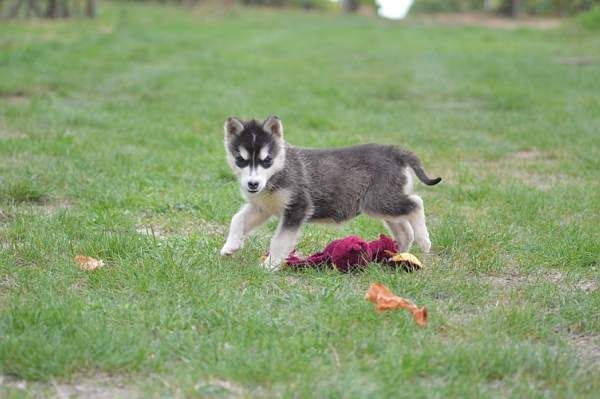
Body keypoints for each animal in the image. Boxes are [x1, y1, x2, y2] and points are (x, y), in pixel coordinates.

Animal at [220, 115, 440, 272]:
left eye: (267, 161)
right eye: (241, 160)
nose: (253, 184)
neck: (279, 170)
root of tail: (395, 152)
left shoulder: (298, 207)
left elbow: (280, 240)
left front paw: (270, 265)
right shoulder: (262, 207)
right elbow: (237, 219)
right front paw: (230, 246)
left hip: (378, 201)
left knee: (416, 203)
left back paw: (424, 240)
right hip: (381, 204)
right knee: (404, 229)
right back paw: (397, 254)